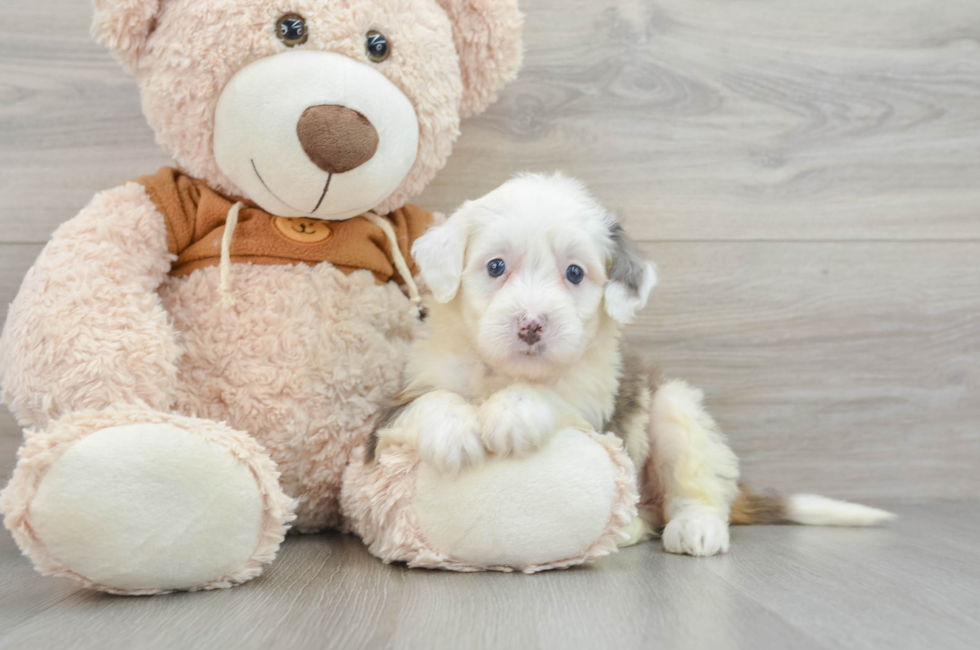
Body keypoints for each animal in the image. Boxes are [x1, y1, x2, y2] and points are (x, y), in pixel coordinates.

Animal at [364, 170, 892, 556]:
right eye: (495, 266)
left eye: (575, 273)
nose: (532, 325)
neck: (504, 371)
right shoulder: (402, 396)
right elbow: (428, 401)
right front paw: (454, 432)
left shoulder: (596, 404)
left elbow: (553, 396)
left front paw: (514, 412)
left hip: (676, 410)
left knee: (700, 488)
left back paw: (695, 529)